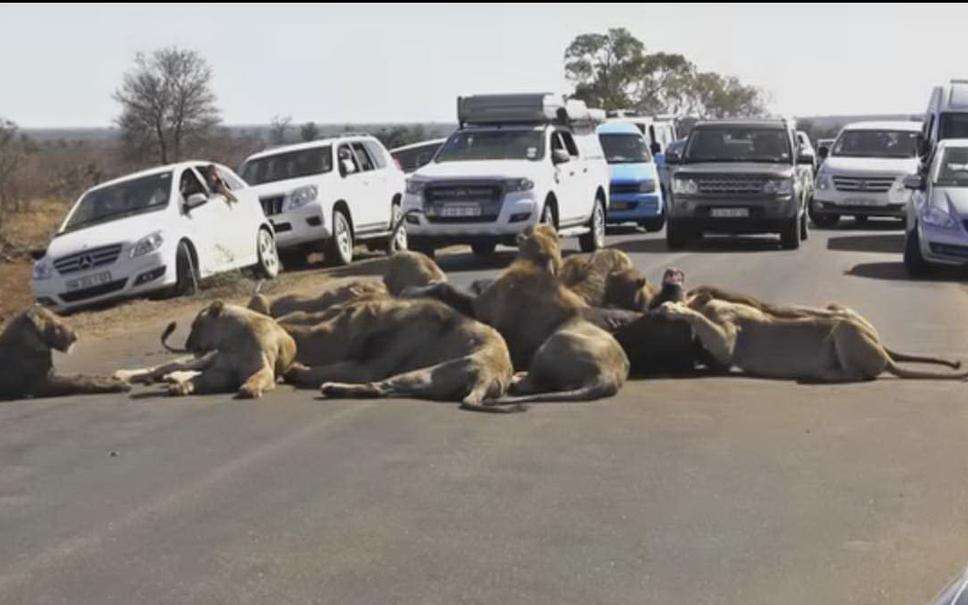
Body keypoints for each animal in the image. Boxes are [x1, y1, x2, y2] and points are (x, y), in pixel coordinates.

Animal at [0, 304, 131, 398]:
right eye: (56, 327)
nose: (76, 337)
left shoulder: (51, 375)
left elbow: (82, 376)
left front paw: (112, 379)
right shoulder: (41, 384)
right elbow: (78, 381)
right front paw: (117, 385)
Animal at [113, 300, 294, 396]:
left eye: (195, 325)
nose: (187, 345)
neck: (233, 342)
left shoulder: (265, 369)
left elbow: (258, 377)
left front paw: (249, 388)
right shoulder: (222, 371)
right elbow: (200, 378)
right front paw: (182, 386)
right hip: (203, 359)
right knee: (166, 367)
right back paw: (122, 375)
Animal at [276, 296, 520, 410]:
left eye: (338, 321)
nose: (287, 327)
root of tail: (489, 378)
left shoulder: (368, 366)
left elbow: (325, 369)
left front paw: (297, 370)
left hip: (428, 372)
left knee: (377, 385)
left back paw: (329, 387)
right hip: (426, 383)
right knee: (381, 390)